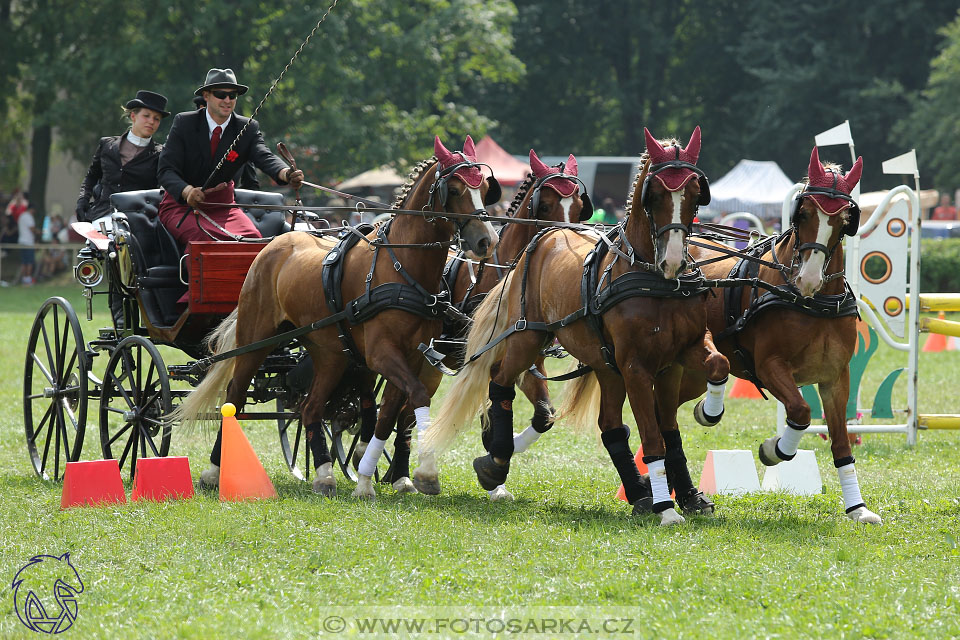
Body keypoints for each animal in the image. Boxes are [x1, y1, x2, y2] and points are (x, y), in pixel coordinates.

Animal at [174, 135, 502, 500]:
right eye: (455, 189)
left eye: (484, 188)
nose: (487, 240)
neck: (401, 267)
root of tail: (273, 244)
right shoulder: (381, 354)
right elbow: (411, 400)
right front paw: (423, 472)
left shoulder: (417, 356)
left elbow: (389, 414)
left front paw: (366, 477)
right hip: (255, 341)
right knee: (234, 399)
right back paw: (214, 470)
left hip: (330, 355)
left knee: (310, 407)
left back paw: (323, 474)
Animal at [362, 149, 592, 500]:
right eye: (546, 205)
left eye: (579, 206)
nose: (564, 241)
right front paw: (495, 470)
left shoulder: (528, 359)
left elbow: (543, 415)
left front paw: (500, 469)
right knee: (404, 412)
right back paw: (400, 474)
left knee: (406, 412)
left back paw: (399, 473)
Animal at [426, 127, 728, 528]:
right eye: (656, 194)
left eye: (696, 193)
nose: (674, 260)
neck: (651, 279)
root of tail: (545, 238)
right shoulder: (635, 366)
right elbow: (653, 437)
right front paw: (667, 508)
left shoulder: (679, 356)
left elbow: (708, 381)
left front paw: (705, 432)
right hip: (527, 337)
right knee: (499, 381)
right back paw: (495, 461)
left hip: (604, 365)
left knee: (610, 426)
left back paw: (638, 492)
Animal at [676, 148, 876, 524]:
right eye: (803, 213)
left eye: (845, 220)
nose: (809, 279)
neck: (813, 304)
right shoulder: (769, 366)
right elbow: (800, 411)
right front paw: (774, 449)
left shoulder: (835, 378)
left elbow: (841, 442)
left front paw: (857, 508)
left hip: (688, 374)